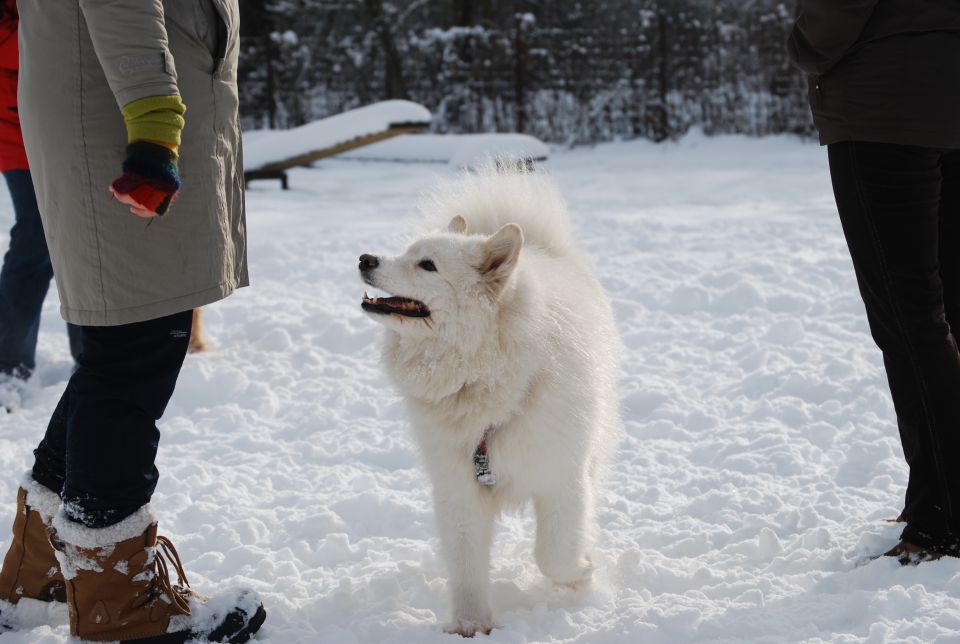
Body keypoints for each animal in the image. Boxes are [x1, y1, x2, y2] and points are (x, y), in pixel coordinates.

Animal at [360, 166, 624, 640]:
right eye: (407, 252)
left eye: (427, 265)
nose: (365, 259)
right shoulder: (458, 489)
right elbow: (466, 564)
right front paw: (471, 623)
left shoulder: (562, 478)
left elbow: (553, 554)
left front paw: (582, 574)